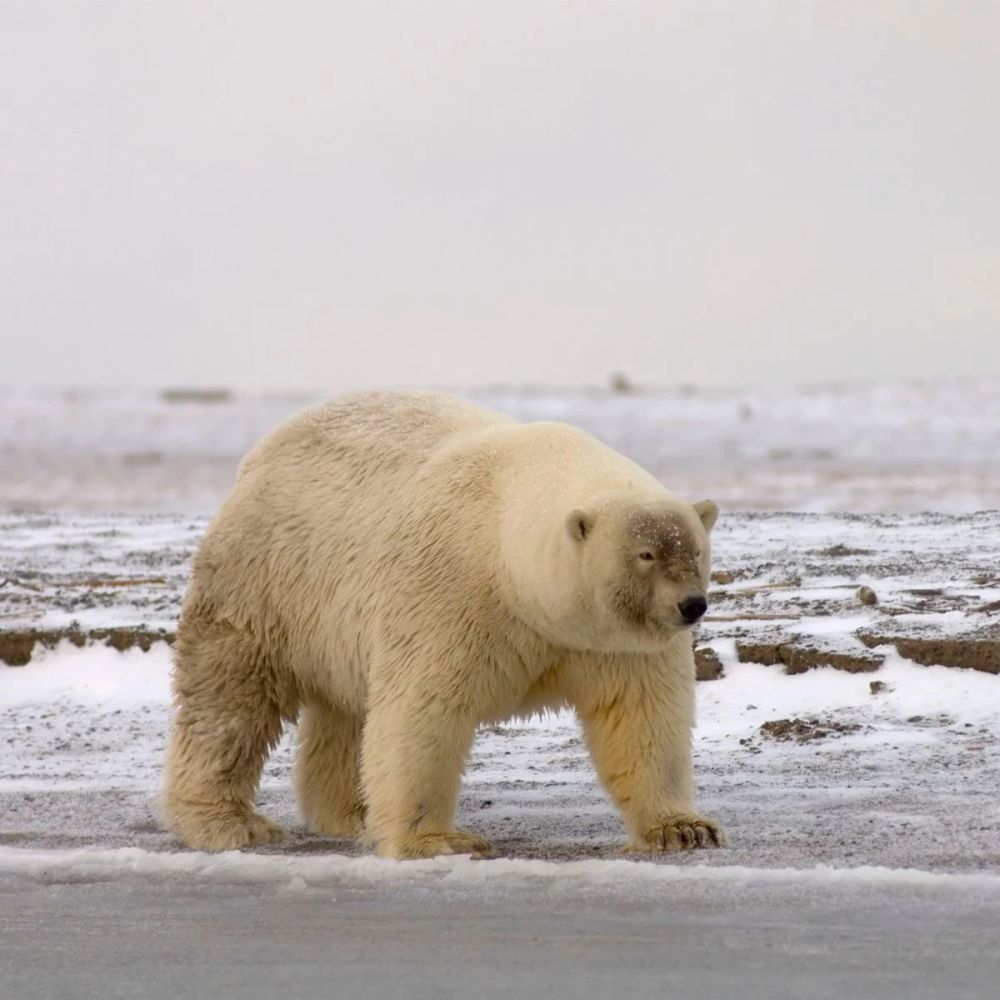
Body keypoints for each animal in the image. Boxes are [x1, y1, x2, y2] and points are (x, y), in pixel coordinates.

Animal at [166, 390, 728, 860]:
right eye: (646, 554)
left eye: (695, 550)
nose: (691, 605)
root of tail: (262, 451)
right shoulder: (452, 594)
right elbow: (423, 712)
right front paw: (439, 840)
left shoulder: (610, 641)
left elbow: (641, 716)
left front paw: (683, 829)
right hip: (267, 580)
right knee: (230, 700)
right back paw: (228, 822)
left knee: (346, 713)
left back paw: (352, 812)